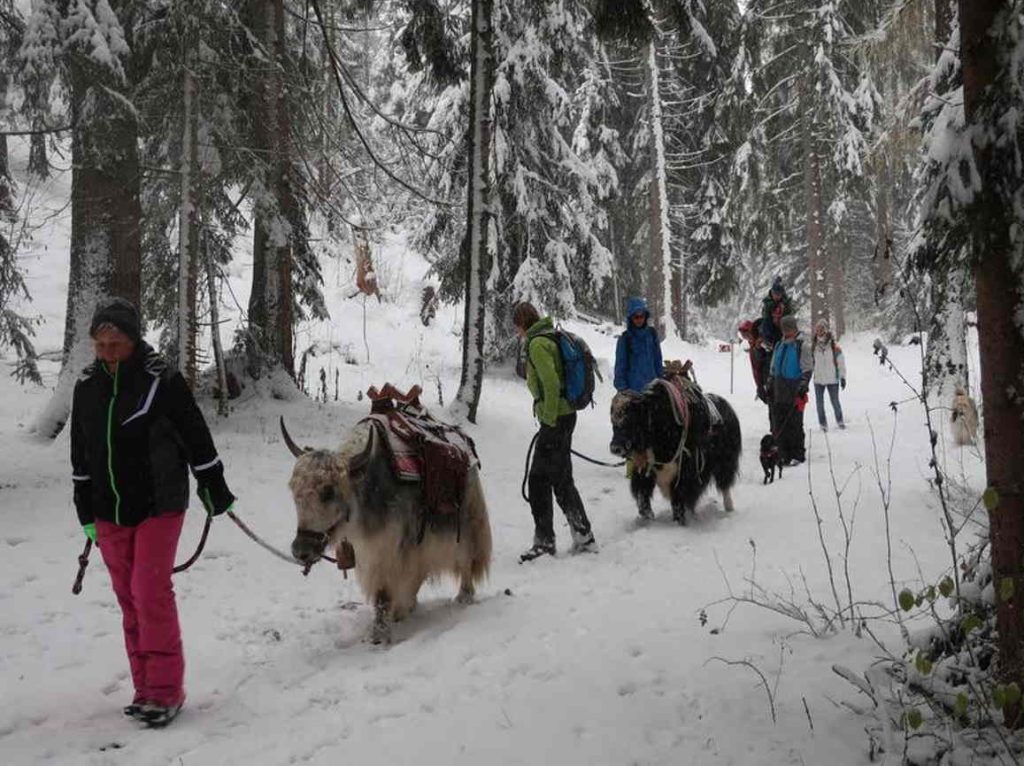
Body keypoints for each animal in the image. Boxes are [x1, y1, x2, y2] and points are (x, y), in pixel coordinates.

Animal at [610, 380, 741, 524]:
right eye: (613, 422)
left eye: (630, 419)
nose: (615, 448)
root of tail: (726, 405)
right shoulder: (644, 469)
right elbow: (642, 495)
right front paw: (648, 516)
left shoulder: (683, 474)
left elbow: (678, 499)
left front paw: (679, 522)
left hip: (725, 461)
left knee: (725, 483)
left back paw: (729, 508)